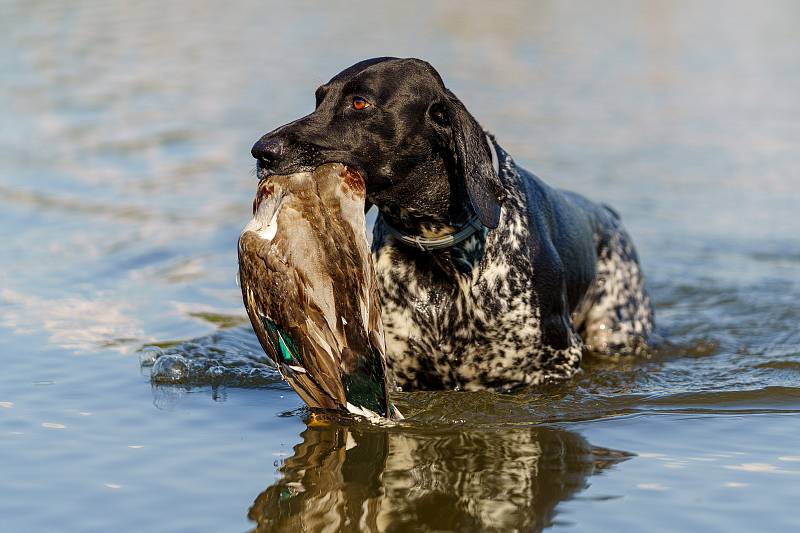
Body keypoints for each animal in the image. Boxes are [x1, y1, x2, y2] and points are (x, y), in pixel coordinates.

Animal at [252, 57, 656, 390]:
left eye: (359, 103)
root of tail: (607, 213)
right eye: (318, 100)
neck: (438, 252)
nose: (261, 151)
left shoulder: (552, 365)